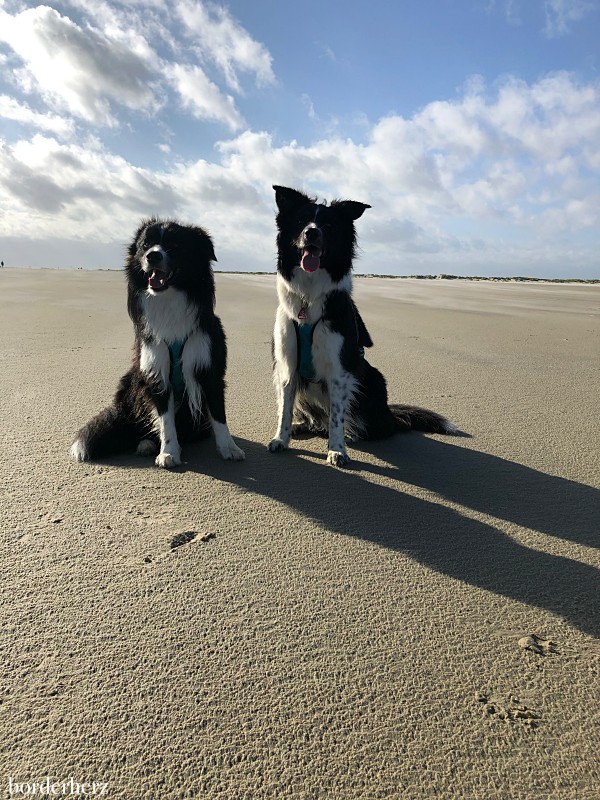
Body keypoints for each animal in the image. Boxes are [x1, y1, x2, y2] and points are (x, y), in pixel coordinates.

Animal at [71, 219, 245, 468]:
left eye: (174, 245)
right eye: (145, 245)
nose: (152, 256)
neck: (170, 299)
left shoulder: (209, 368)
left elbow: (219, 414)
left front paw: (229, 448)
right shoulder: (156, 372)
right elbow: (165, 420)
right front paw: (169, 452)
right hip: (132, 381)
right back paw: (146, 443)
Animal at [268, 184, 454, 466]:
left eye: (329, 225)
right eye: (301, 221)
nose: (311, 232)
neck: (309, 299)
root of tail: (390, 414)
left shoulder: (340, 369)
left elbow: (337, 416)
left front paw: (337, 450)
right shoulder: (287, 364)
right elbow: (285, 409)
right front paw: (281, 438)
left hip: (373, 379)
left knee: (373, 426)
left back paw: (352, 433)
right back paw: (304, 426)